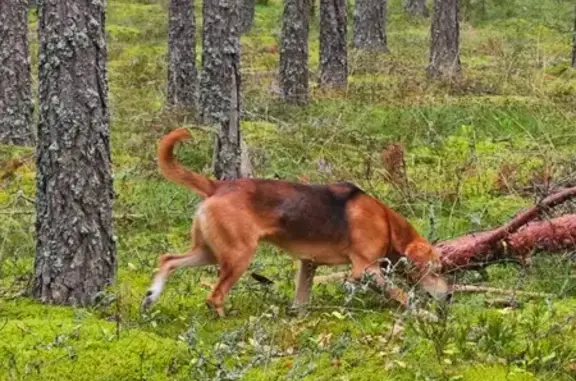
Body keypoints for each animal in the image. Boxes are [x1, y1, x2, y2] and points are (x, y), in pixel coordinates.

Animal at [141, 127, 450, 314]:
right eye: (435, 270)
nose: (449, 297)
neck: (387, 223)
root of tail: (217, 187)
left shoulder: (308, 265)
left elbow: (300, 301)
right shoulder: (366, 270)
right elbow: (402, 295)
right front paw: (424, 315)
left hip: (210, 252)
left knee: (167, 259)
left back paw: (151, 296)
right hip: (238, 256)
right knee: (213, 296)